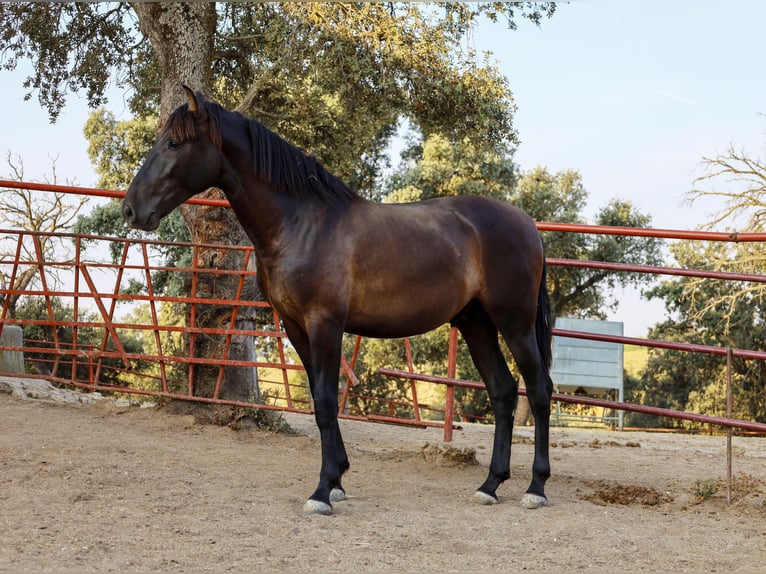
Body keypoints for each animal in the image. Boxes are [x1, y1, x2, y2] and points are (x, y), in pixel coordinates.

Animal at [124, 86, 560, 516]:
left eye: (174, 143)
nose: (131, 209)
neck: (301, 224)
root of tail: (528, 225)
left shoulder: (325, 325)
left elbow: (326, 402)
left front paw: (321, 491)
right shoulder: (296, 328)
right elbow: (321, 400)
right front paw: (336, 482)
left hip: (515, 323)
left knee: (539, 390)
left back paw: (536, 488)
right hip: (477, 323)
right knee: (503, 391)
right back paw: (490, 485)